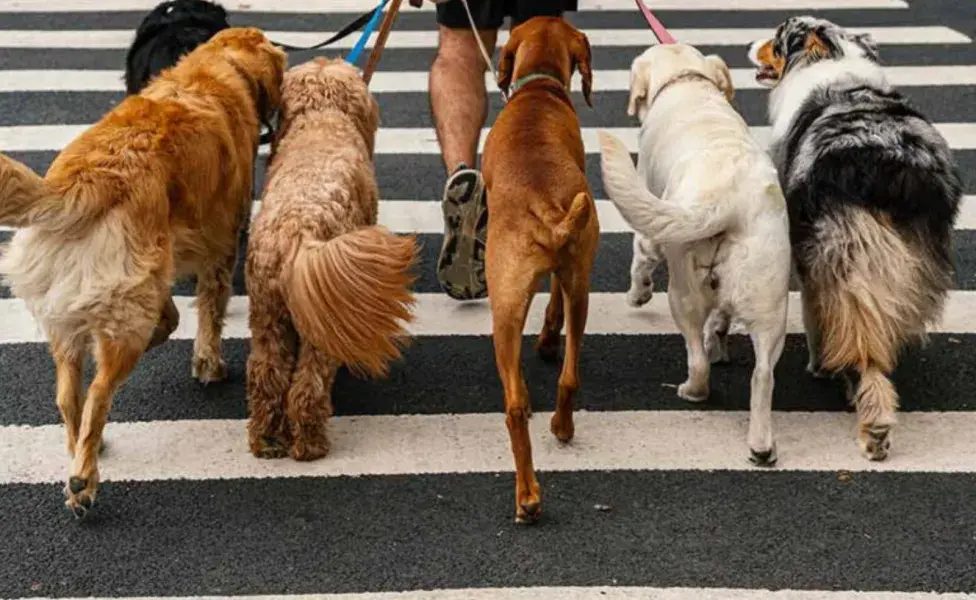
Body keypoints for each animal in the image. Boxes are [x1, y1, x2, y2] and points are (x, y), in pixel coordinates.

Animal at [0, 28, 286, 516]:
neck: (216, 69)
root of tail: (88, 177)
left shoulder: (157, 267)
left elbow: (172, 315)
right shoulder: (220, 245)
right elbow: (208, 312)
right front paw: (209, 363)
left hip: (71, 309)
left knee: (67, 394)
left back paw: (84, 448)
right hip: (122, 307)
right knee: (99, 392)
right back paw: (84, 479)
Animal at [246, 57, 418, 460]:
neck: (321, 117)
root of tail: (295, 232)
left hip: (268, 314)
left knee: (267, 377)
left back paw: (266, 440)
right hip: (314, 329)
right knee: (307, 386)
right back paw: (310, 444)